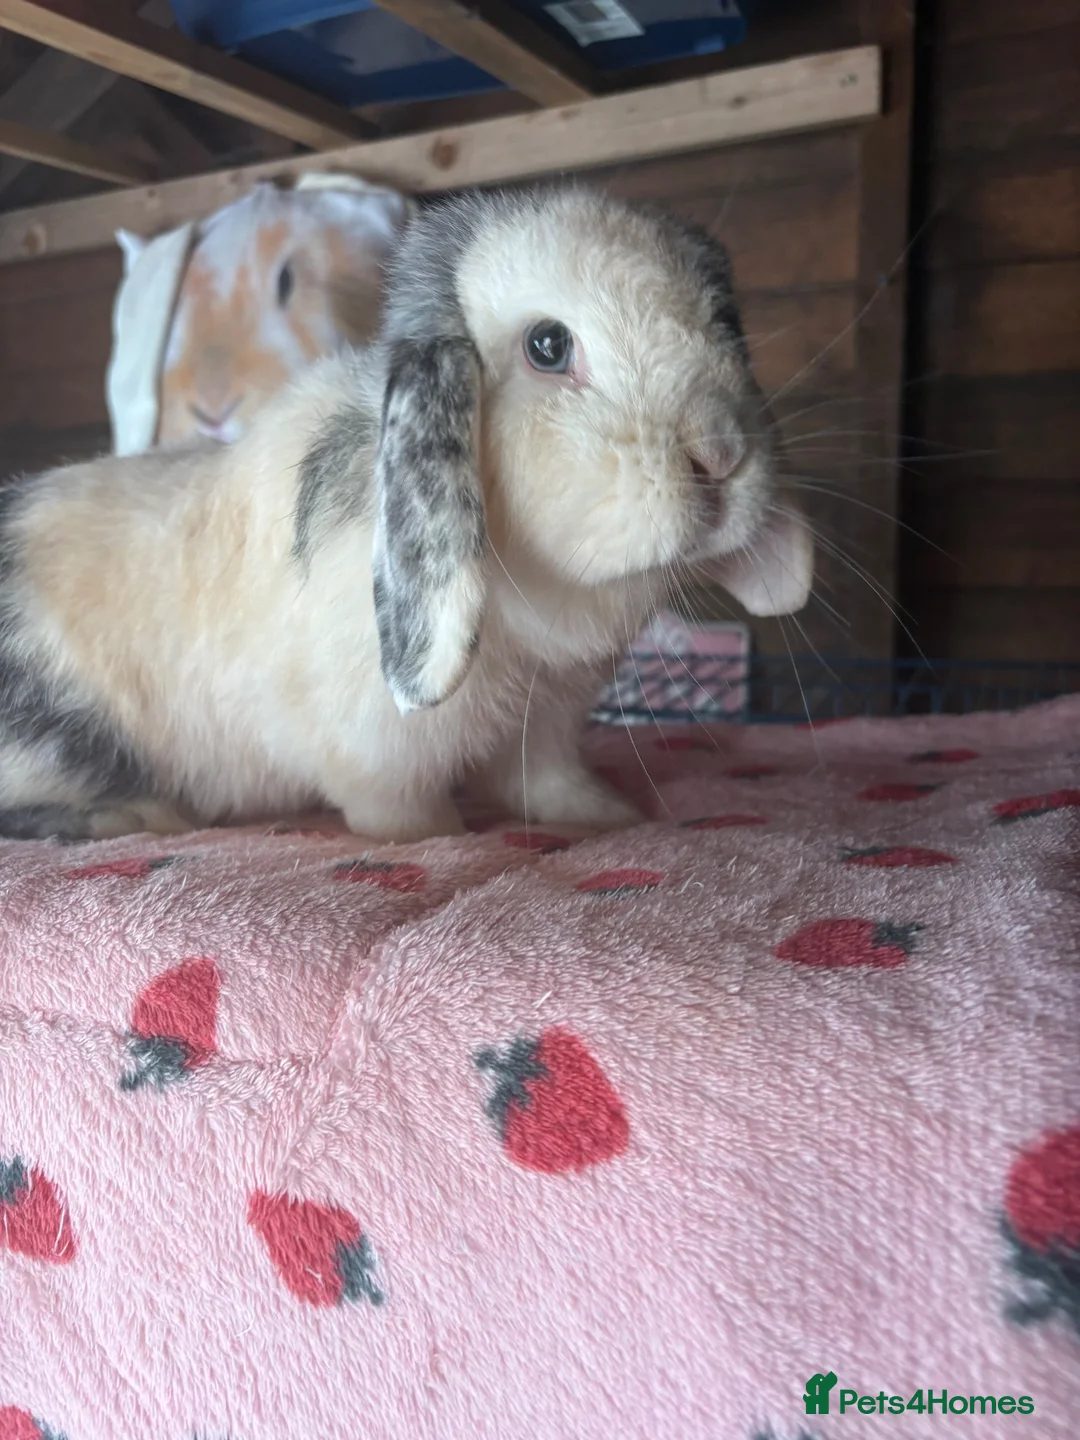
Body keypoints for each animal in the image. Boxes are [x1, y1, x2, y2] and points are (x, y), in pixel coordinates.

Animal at [0, 184, 813, 845]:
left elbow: (546, 783)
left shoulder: (548, 719)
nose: (721, 455)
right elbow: (402, 814)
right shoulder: (376, 754)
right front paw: (444, 841)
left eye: (723, 321)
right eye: (548, 345)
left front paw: (607, 817)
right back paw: (137, 816)